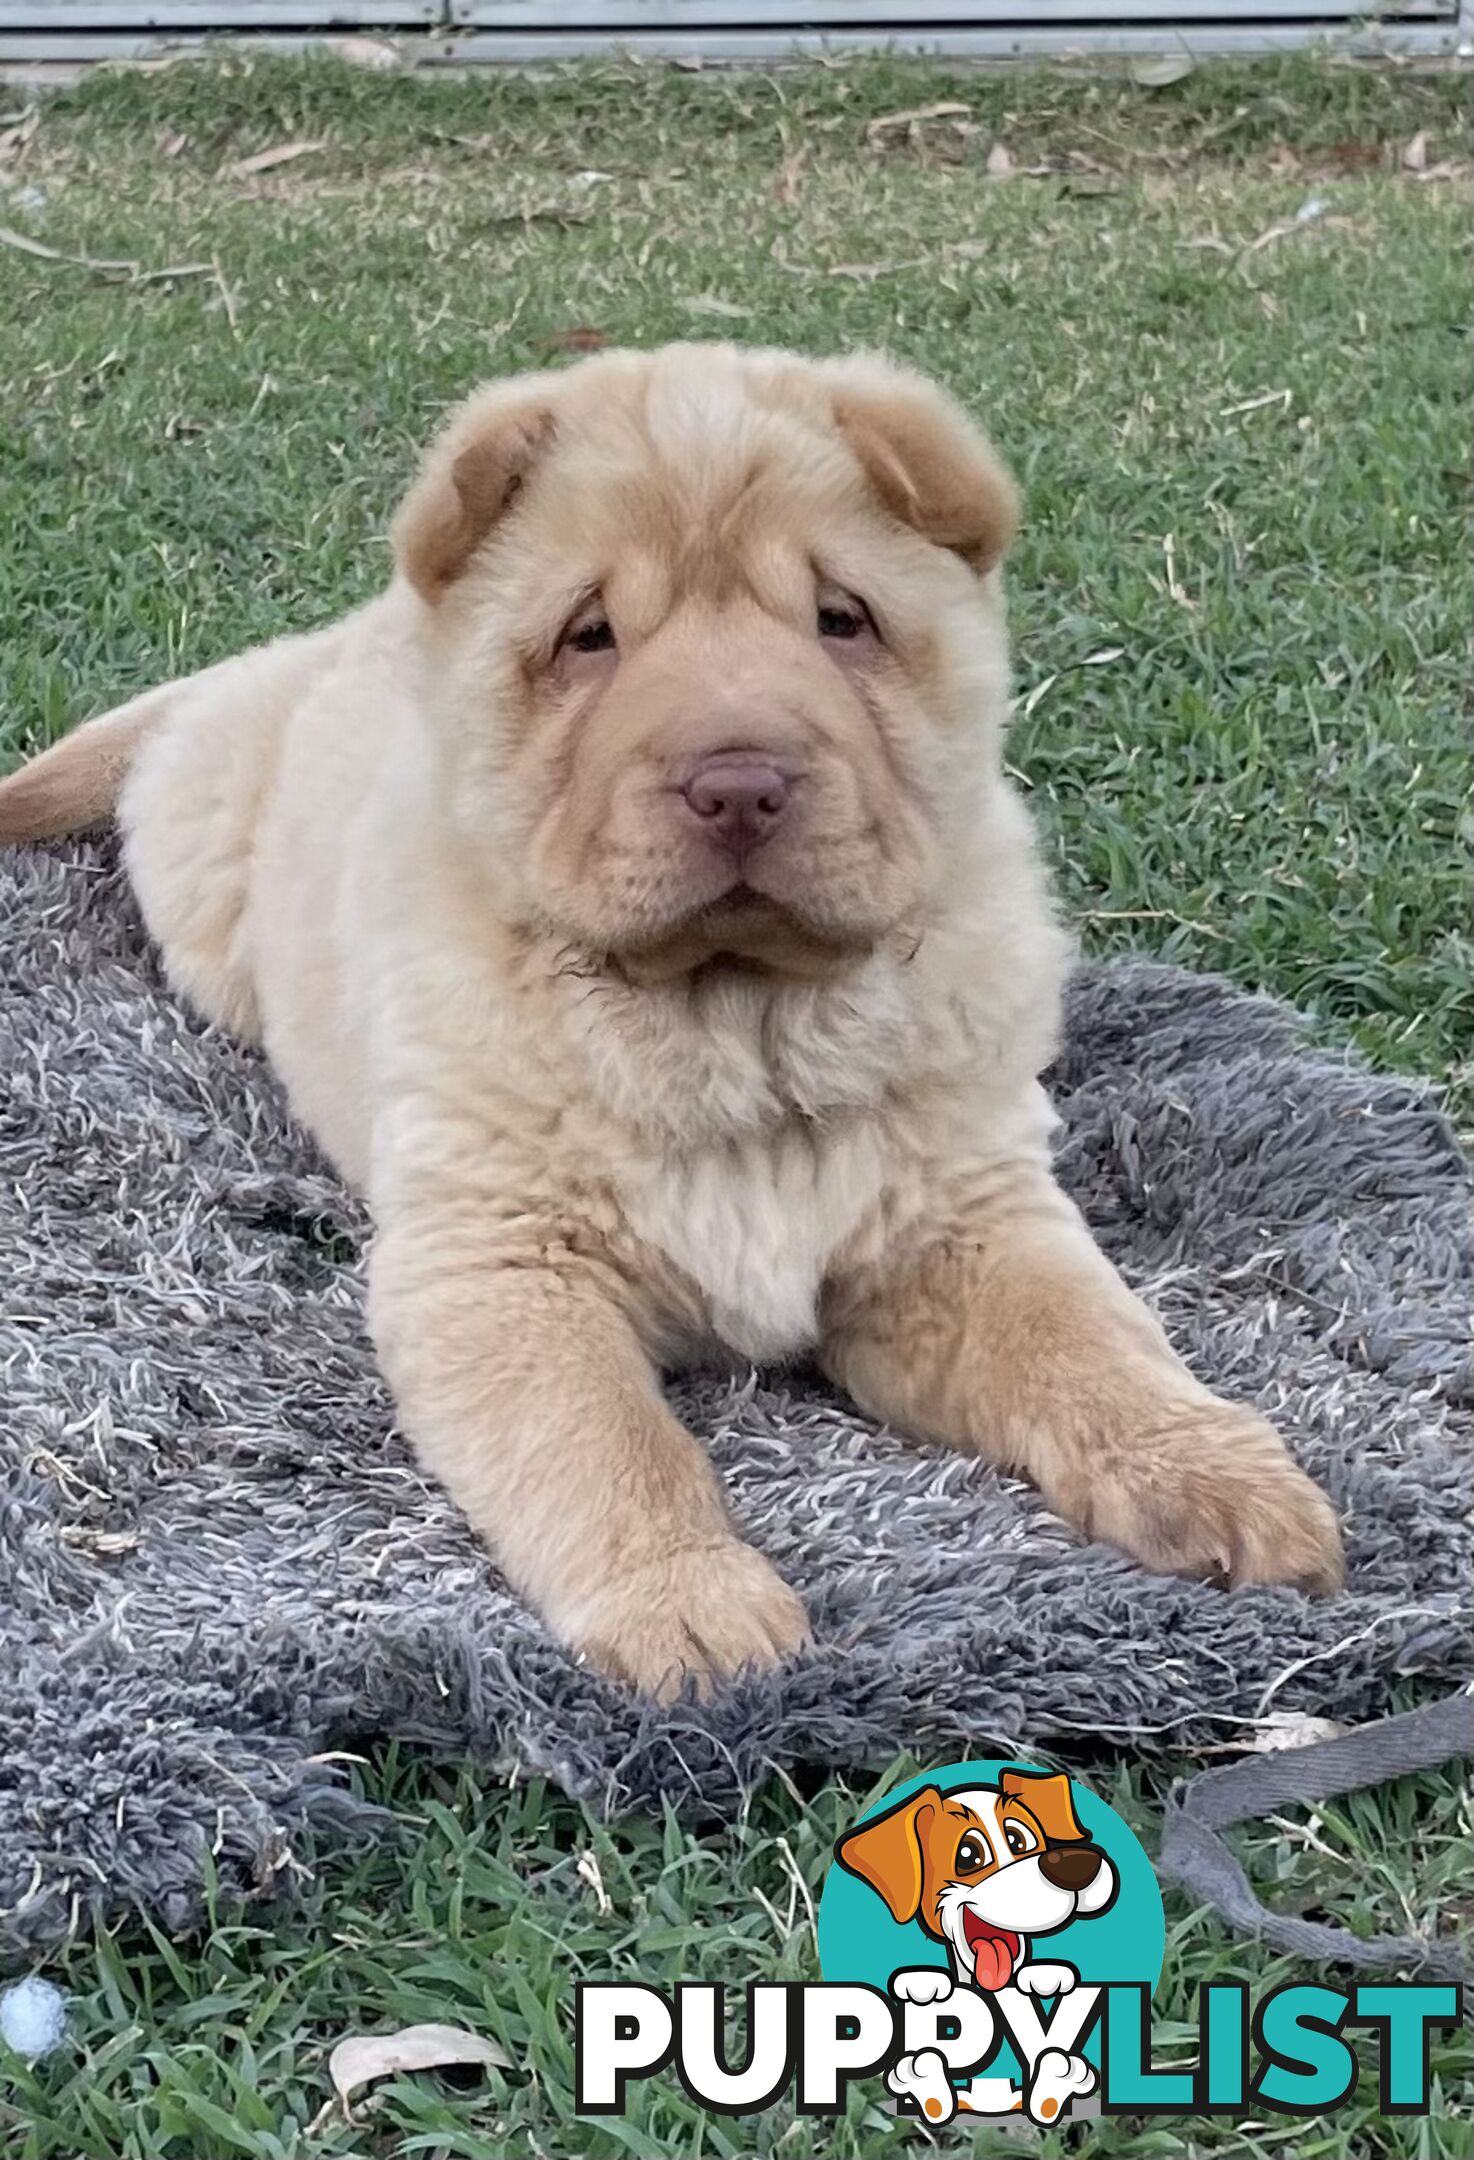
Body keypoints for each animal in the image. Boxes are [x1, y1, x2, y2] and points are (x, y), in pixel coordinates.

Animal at [0, 345, 1340, 1693]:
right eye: (589, 636)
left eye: (840, 620)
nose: (737, 781)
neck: (739, 1020)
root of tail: (308, 650)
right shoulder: (503, 1261)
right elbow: (603, 1443)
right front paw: (691, 1608)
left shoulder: (961, 1223)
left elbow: (1091, 1343)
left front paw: (1217, 1476)